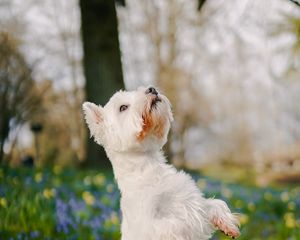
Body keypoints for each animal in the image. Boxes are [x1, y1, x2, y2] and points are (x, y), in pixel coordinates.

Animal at [81, 86, 239, 240]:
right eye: (123, 107)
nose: (152, 89)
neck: (147, 165)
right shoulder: (152, 225)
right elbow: (183, 221)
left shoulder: (186, 195)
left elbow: (212, 204)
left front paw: (226, 224)